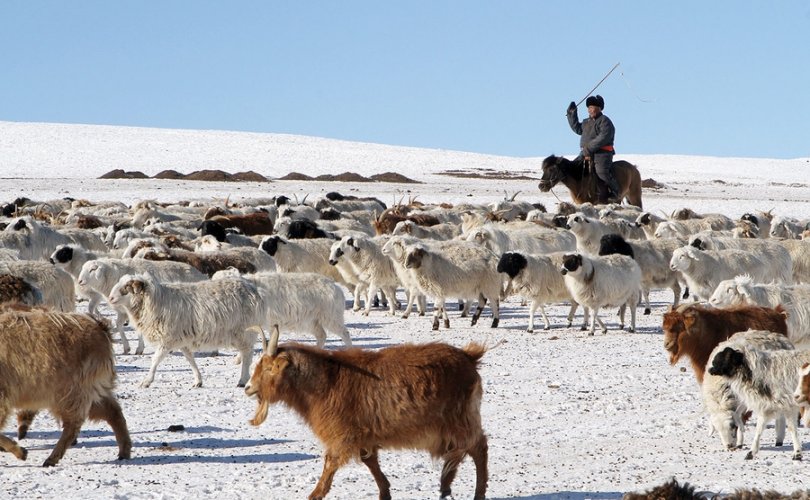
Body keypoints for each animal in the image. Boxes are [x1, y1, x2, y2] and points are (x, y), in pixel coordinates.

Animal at [0, 302, 131, 466]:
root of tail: (99, 326)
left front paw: (20, 452)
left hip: (72, 391)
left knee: (73, 425)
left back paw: (51, 458)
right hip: (91, 390)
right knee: (113, 412)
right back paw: (124, 451)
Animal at [109, 274, 262, 386]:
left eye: (127, 287)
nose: (110, 298)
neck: (156, 300)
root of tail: (251, 288)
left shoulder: (167, 339)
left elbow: (155, 360)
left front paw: (146, 381)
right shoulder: (182, 339)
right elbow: (190, 359)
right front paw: (198, 380)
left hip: (243, 331)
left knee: (247, 353)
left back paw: (243, 380)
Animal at [245, 330, 486, 498]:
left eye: (269, 368)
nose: (247, 387)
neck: (326, 381)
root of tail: (469, 357)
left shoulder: (342, 434)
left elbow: (331, 463)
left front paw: (315, 494)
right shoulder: (364, 434)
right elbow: (369, 460)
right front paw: (385, 492)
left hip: (459, 419)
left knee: (477, 447)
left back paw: (472, 490)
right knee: (462, 450)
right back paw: (447, 483)